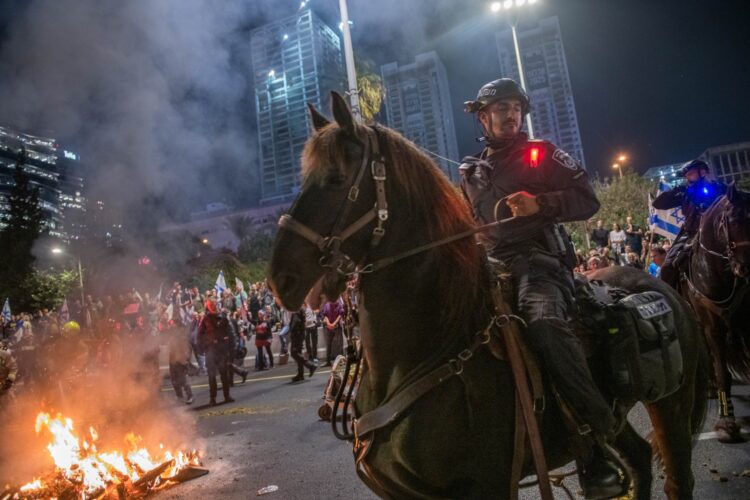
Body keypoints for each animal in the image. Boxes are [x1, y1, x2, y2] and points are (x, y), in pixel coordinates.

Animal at [270, 94, 712, 500]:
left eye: (336, 179)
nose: (279, 280)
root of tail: (660, 285)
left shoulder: (489, 485)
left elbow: (582, 194)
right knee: (638, 460)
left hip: (672, 404)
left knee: (677, 478)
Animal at [680, 186, 750, 444]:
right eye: (731, 220)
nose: (746, 266)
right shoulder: (713, 326)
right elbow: (722, 372)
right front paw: (726, 423)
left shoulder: (745, 321)